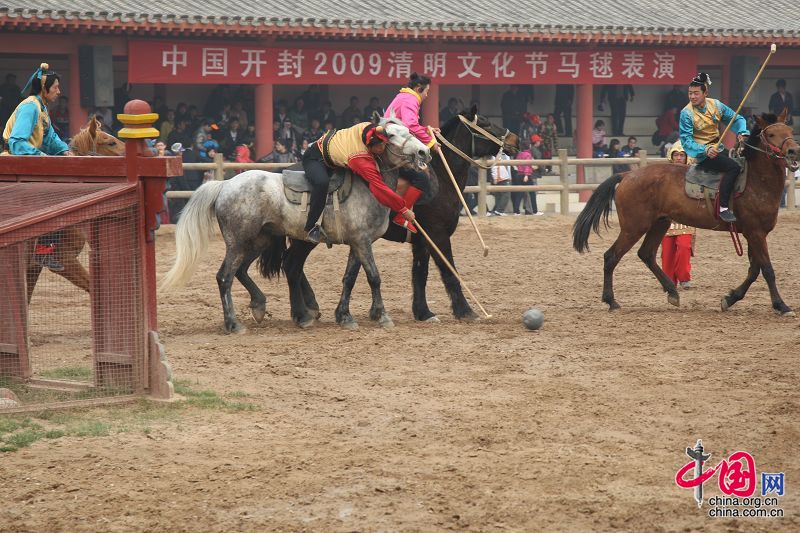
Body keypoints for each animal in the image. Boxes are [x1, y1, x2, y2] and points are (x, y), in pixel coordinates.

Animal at [159, 118, 428, 332]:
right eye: (391, 135)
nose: (424, 152)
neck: (368, 185)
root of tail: (225, 185)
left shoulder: (358, 242)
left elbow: (350, 278)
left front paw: (344, 316)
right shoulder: (362, 241)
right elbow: (373, 276)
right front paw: (382, 316)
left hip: (260, 240)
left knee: (243, 270)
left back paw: (263, 306)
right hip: (238, 242)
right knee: (225, 276)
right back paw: (234, 324)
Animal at [572, 109, 796, 314]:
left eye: (790, 130)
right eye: (771, 134)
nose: (794, 151)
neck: (755, 181)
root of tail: (627, 174)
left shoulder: (755, 234)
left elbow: (754, 270)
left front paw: (730, 298)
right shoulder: (755, 233)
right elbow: (767, 270)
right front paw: (781, 305)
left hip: (659, 223)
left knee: (646, 254)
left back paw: (672, 291)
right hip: (633, 227)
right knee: (611, 256)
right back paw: (611, 301)